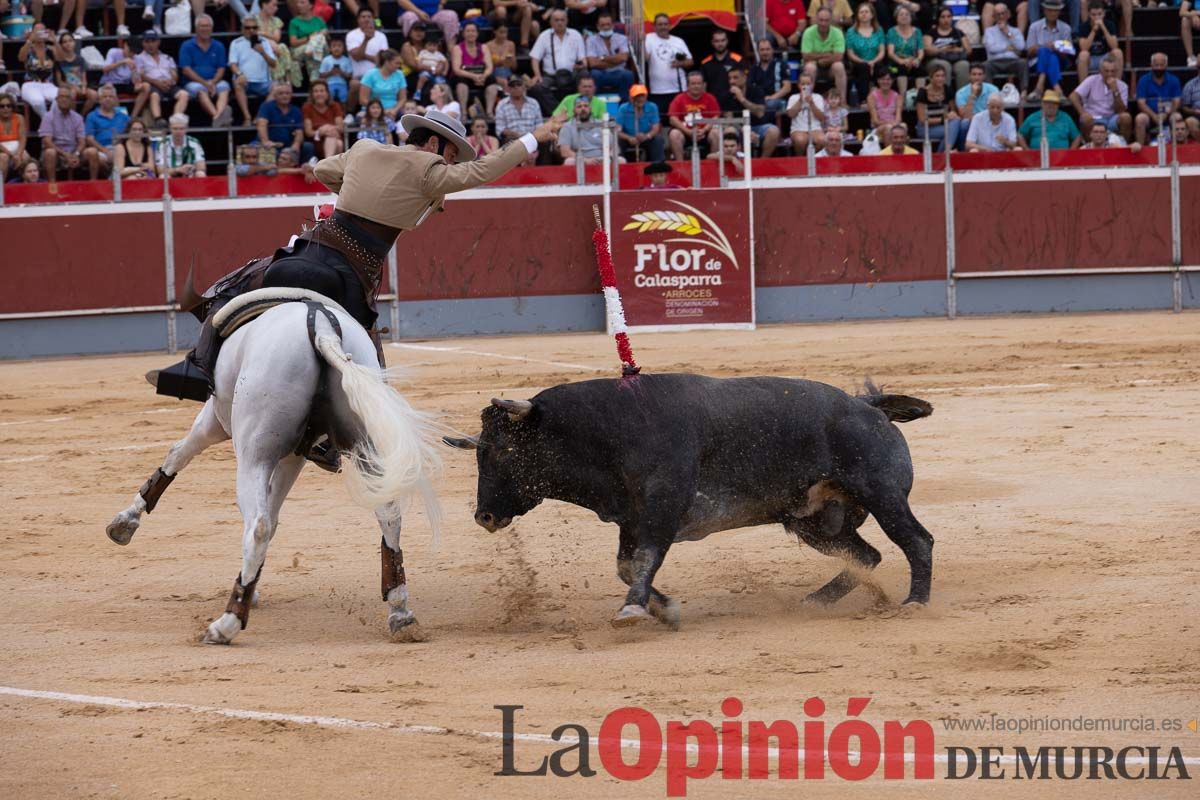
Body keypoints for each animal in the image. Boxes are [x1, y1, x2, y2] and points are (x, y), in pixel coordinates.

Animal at [105, 293, 444, 642]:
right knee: (388, 514)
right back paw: (400, 612)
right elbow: (276, 513)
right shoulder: (295, 456)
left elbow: (178, 454)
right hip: (363, 443)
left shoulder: (215, 420)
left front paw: (125, 522)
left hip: (254, 453)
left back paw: (227, 623)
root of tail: (322, 327)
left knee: (257, 525)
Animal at [446, 371, 931, 628]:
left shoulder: (661, 511)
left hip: (883, 494)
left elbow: (642, 561)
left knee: (916, 541)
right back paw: (815, 602)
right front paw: (665, 609)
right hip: (811, 521)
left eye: (503, 449)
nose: (484, 515)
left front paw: (633, 611)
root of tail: (867, 405)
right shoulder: (632, 519)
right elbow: (626, 565)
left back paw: (915, 602)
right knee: (865, 555)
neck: (610, 431)